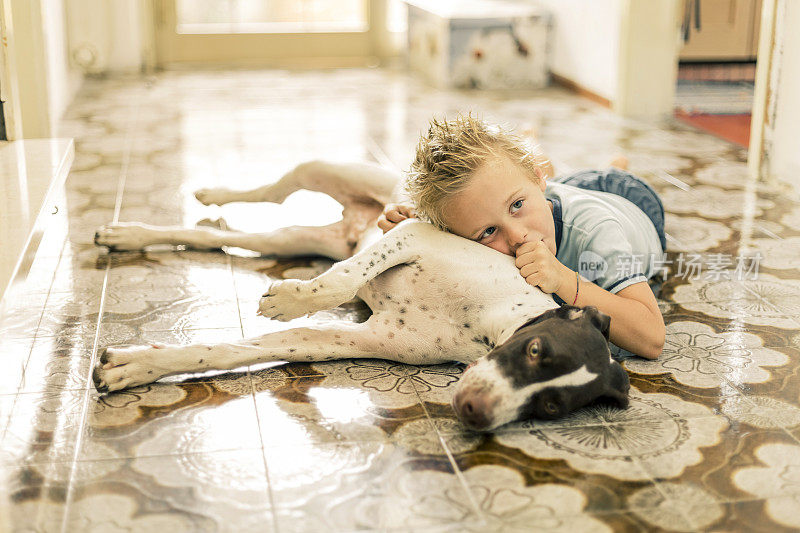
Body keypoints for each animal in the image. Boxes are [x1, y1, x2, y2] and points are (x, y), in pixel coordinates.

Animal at [94, 160, 628, 430]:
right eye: (536, 349)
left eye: (551, 407)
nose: (478, 413)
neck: (485, 320)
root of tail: (351, 220)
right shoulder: (414, 235)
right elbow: (340, 281)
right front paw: (289, 299)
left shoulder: (352, 340)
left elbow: (231, 350)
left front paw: (135, 366)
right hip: (322, 172)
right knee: (273, 190)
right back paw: (213, 194)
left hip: (293, 239)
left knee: (220, 237)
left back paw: (128, 234)